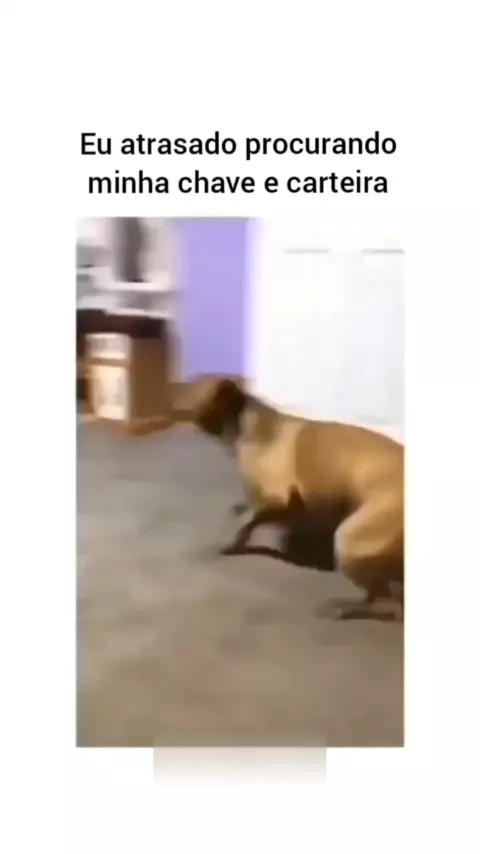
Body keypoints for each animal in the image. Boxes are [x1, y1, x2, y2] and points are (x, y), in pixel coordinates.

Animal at [173, 375, 404, 621]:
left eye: (191, 388)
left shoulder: (276, 497)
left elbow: (246, 523)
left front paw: (229, 543)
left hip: (349, 537)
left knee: (387, 602)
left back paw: (342, 607)